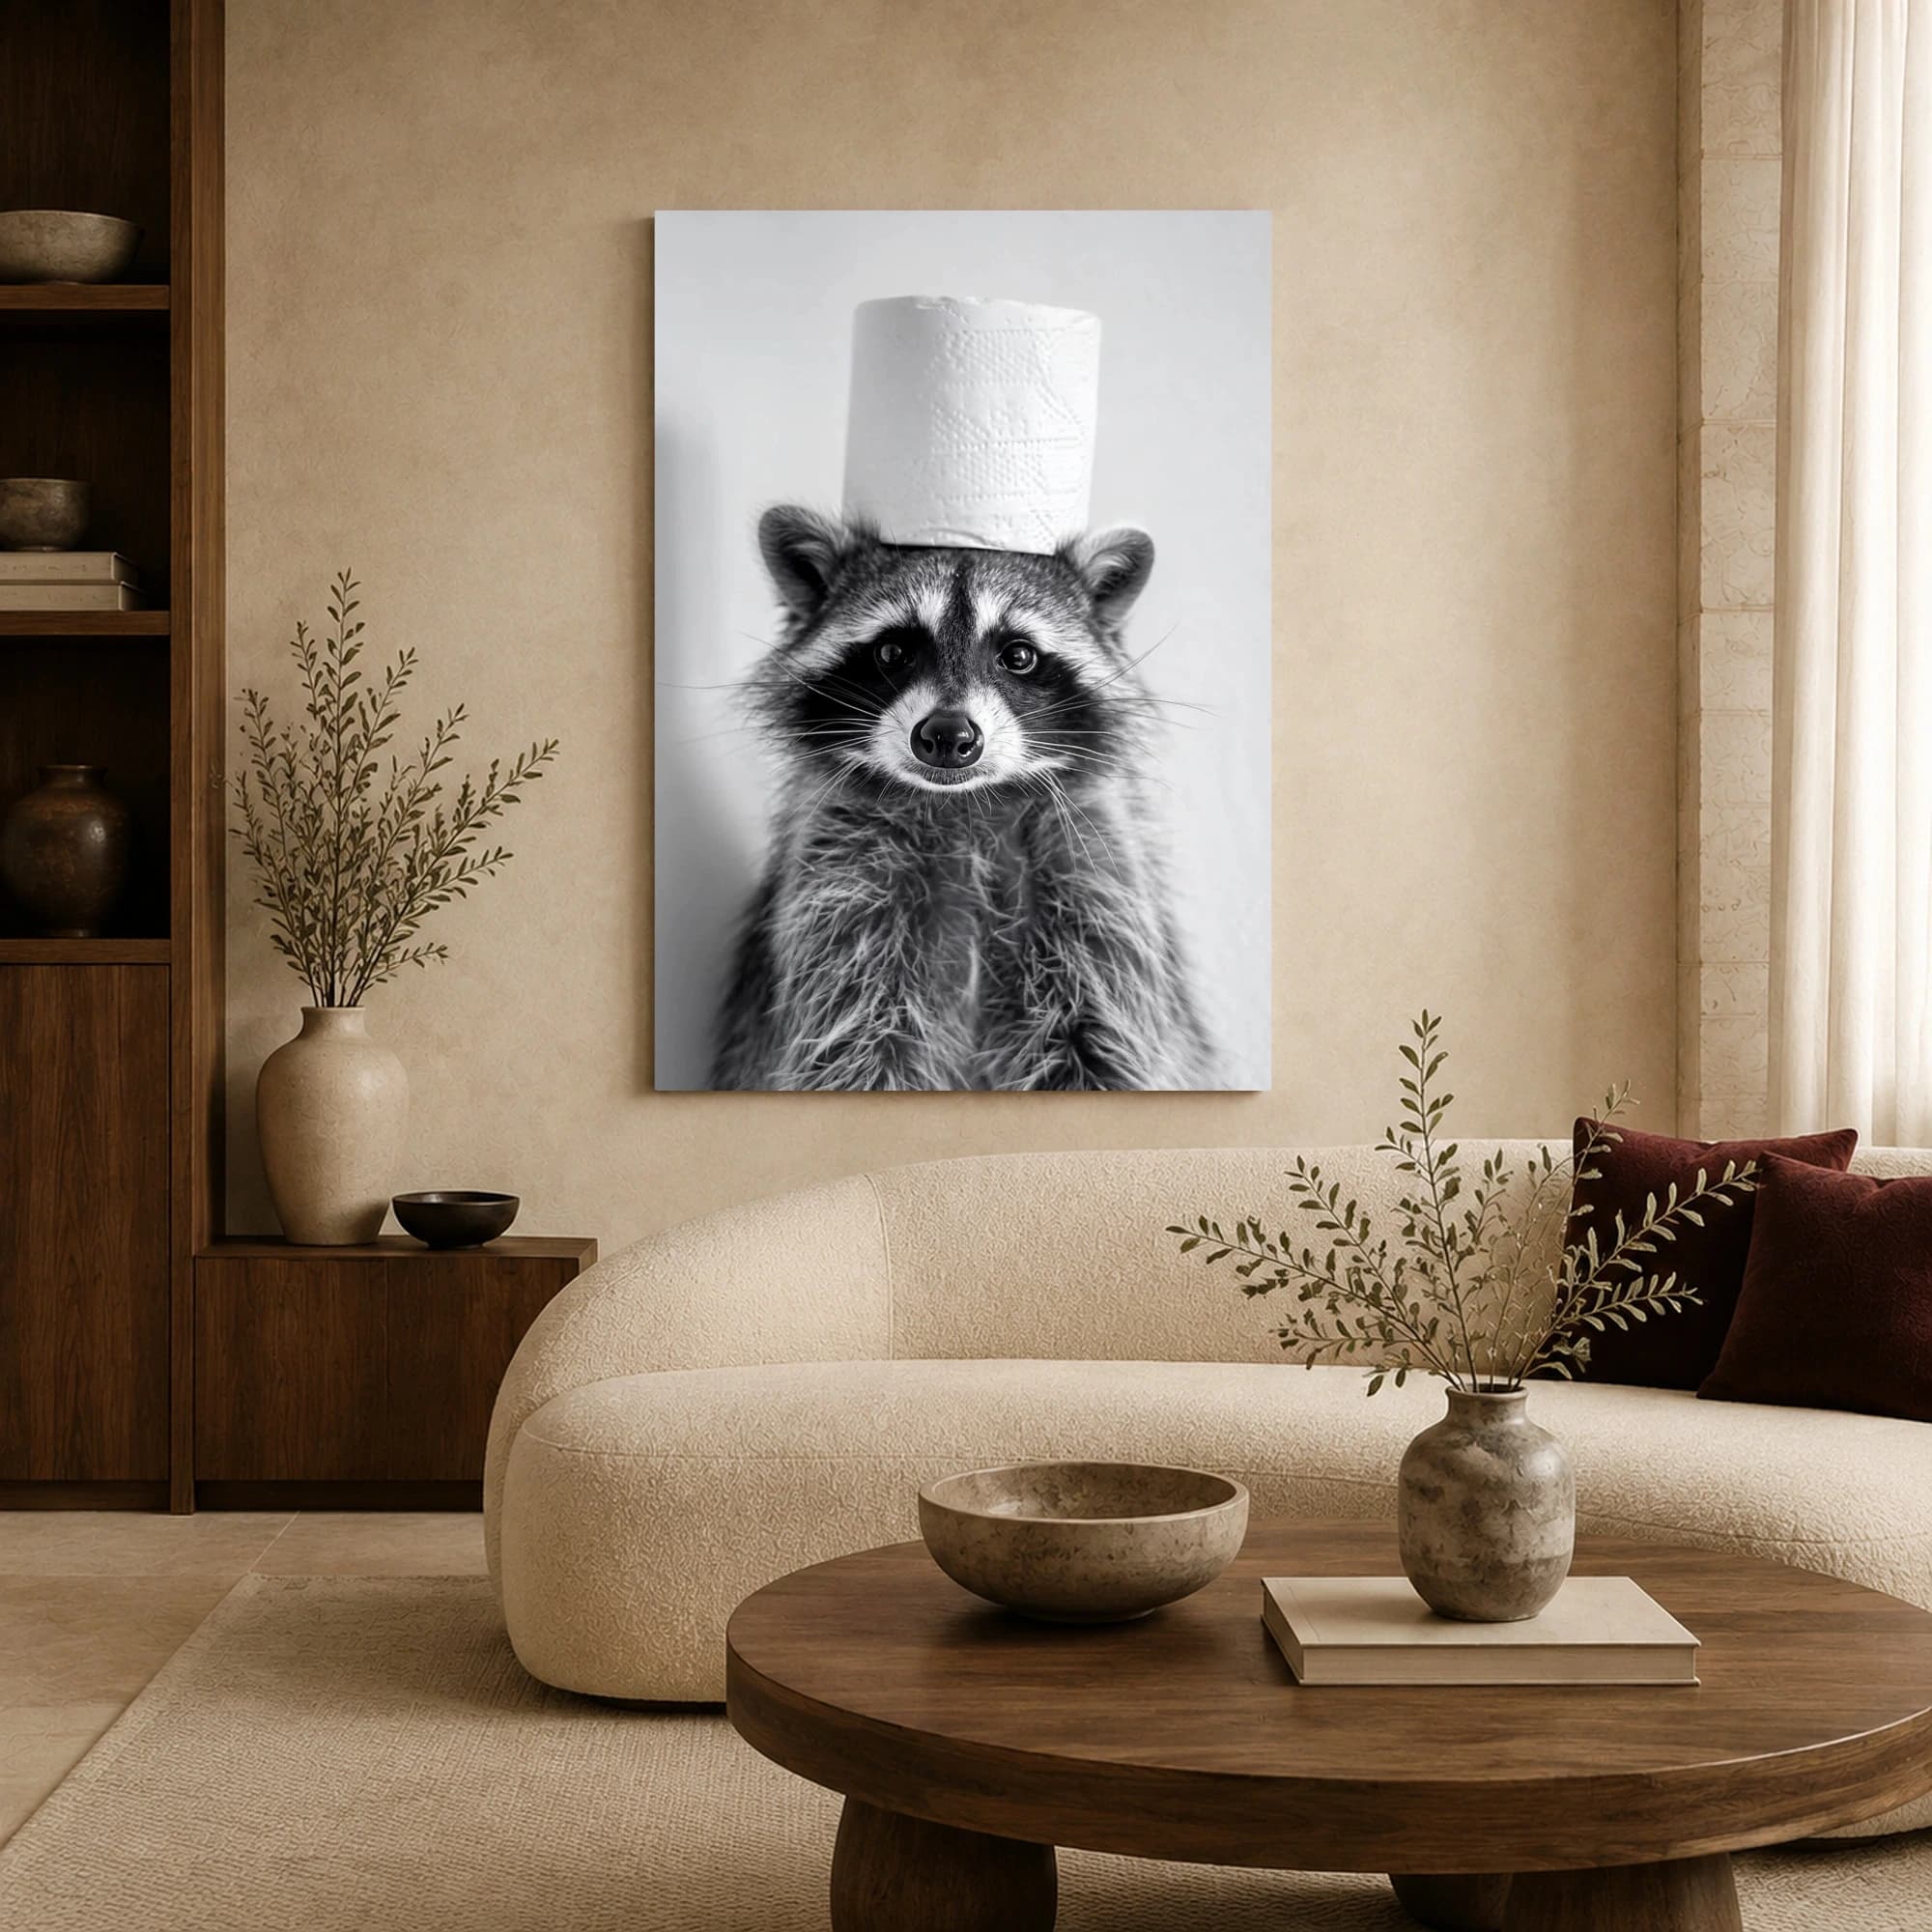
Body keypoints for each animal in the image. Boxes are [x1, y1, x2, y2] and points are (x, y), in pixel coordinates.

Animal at [710, 506, 1217, 1091]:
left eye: (1018, 655)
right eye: (893, 651)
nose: (948, 735)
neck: (966, 806)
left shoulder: (1096, 881)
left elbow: (1103, 1043)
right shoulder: (842, 889)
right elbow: (856, 1044)